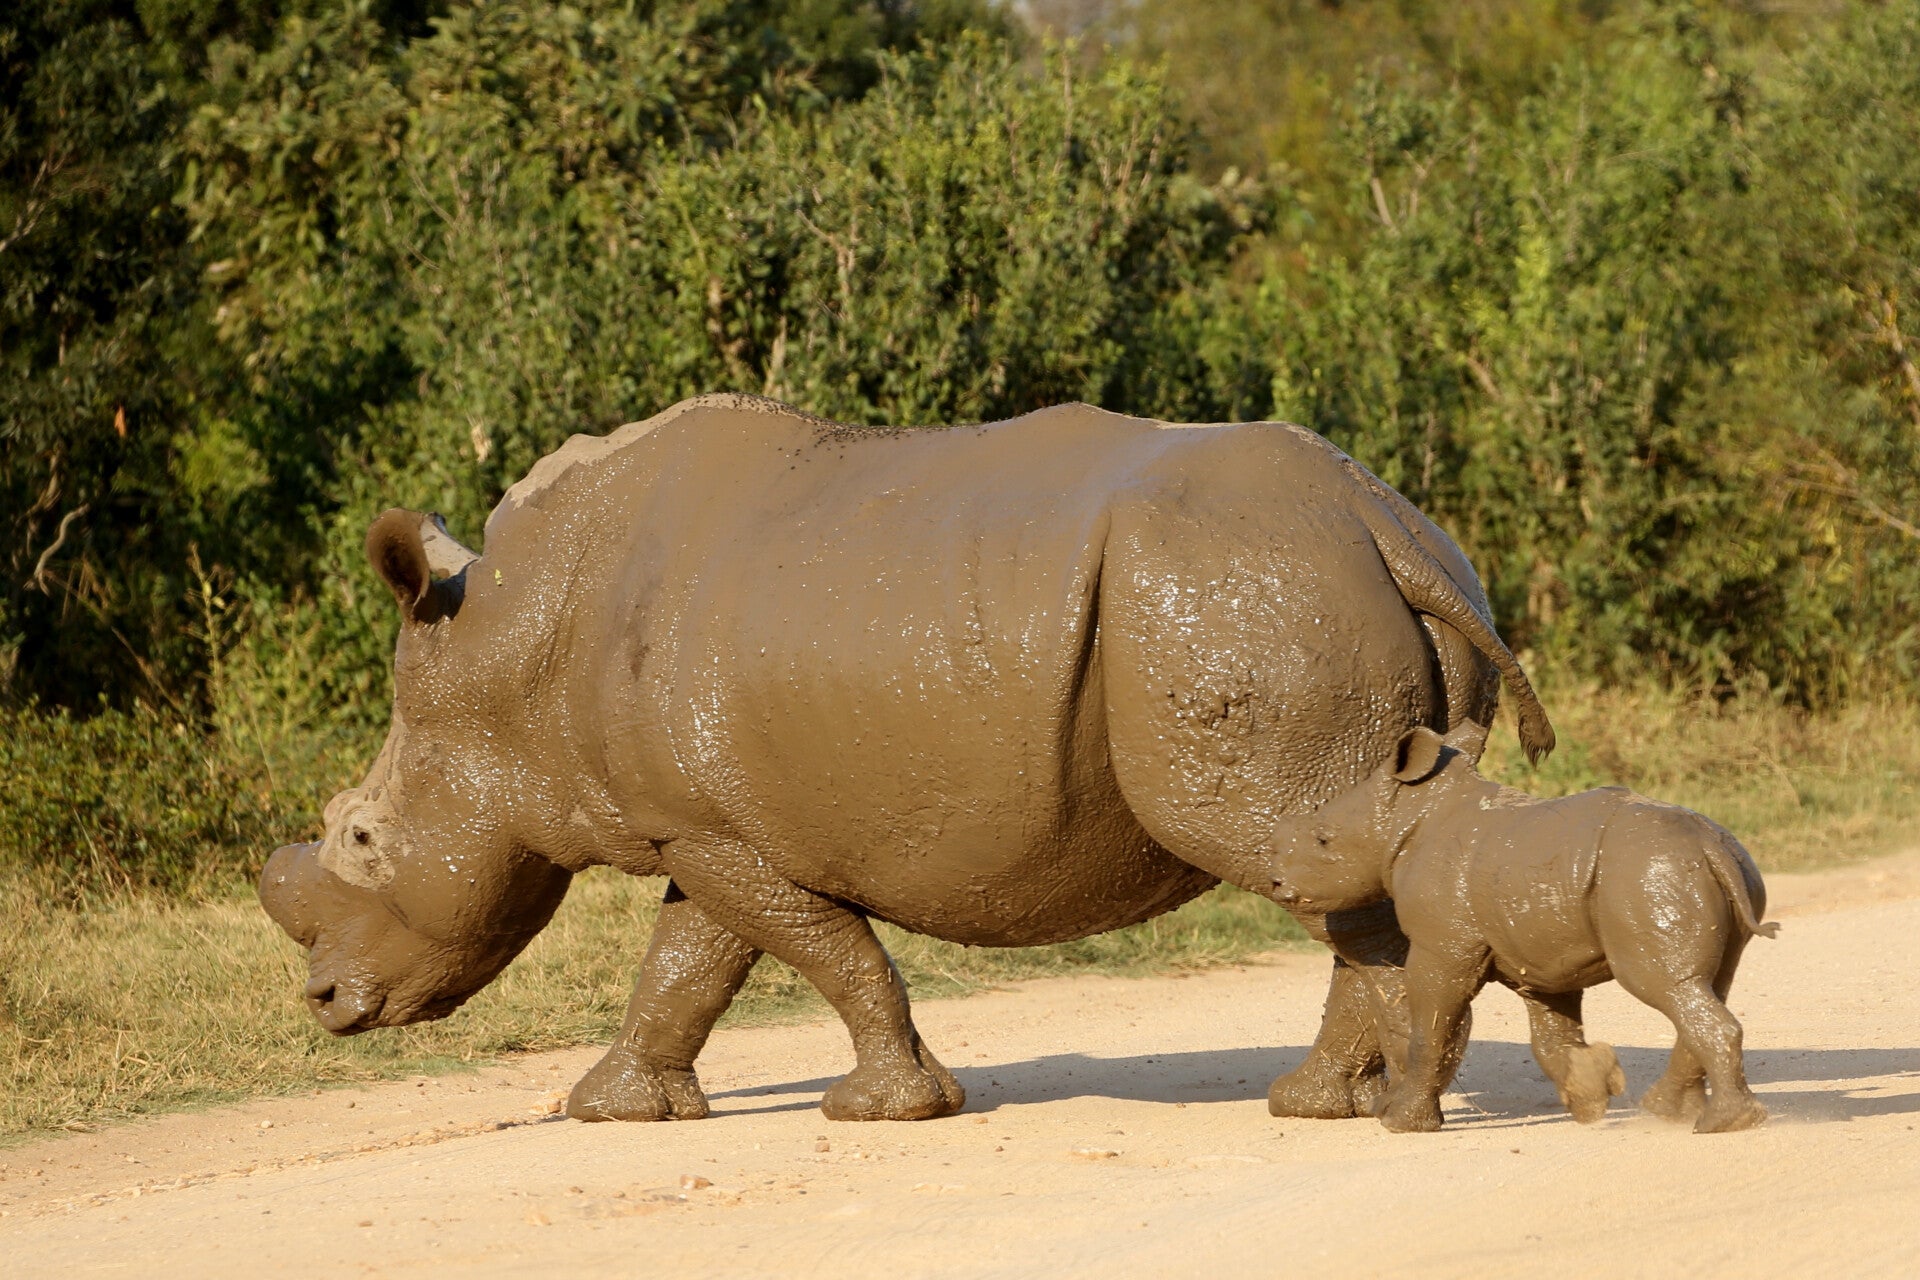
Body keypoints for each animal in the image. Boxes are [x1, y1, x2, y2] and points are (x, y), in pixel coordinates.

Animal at [259, 395, 1554, 1125]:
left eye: (362, 835)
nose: (319, 1002)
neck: (508, 651)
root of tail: (1381, 525)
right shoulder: (703, 821)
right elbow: (691, 962)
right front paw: (614, 1112)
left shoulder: (711, 830)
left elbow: (825, 951)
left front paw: (881, 1112)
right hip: (1336, 572)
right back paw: (1353, 1100)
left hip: (1242, 589)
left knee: (1296, 848)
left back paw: (1334, 1108)